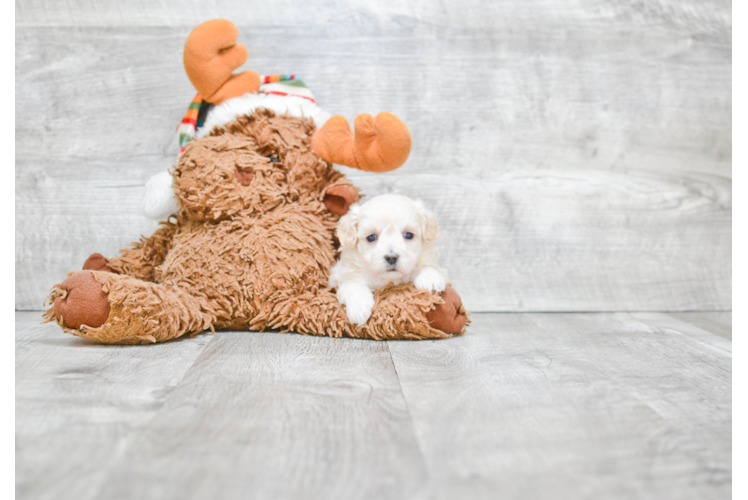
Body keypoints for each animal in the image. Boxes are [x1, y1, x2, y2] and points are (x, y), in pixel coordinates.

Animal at [330, 193, 448, 326]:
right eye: (371, 237)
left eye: (408, 235)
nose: (391, 258)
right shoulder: (344, 275)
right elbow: (354, 286)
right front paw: (359, 308)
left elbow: (427, 266)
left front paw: (430, 278)